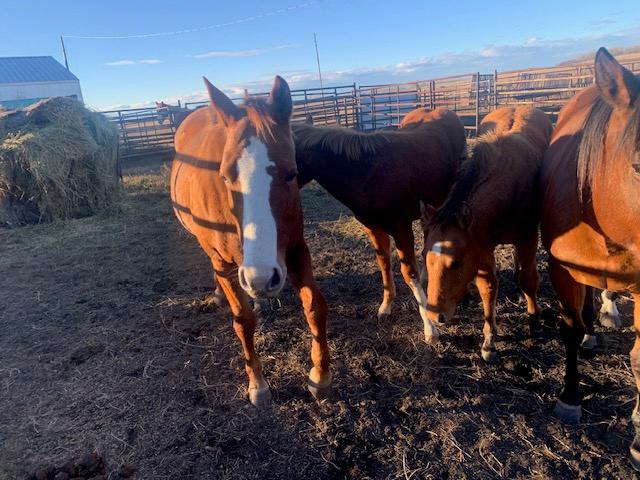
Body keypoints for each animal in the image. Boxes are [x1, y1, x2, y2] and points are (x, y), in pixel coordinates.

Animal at [170, 75, 330, 404]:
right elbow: (242, 320)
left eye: (292, 173)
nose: (262, 277)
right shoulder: (225, 264)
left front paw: (320, 376)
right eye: (225, 176)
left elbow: (314, 307)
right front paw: (258, 384)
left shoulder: (296, 249)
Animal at [292, 108, 464, 344]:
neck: (367, 174)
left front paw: (430, 329)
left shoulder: (401, 229)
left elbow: (408, 273)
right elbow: (384, 264)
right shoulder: (373, 229)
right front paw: (385, 307)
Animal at [422, 105, 552, 360]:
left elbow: (529, 280)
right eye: (425, 258)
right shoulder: (480, 247)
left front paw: (534, 319)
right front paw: (489, 340)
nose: (435, 316)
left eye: (455, 263)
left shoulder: (528, 238)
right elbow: (488, 288)